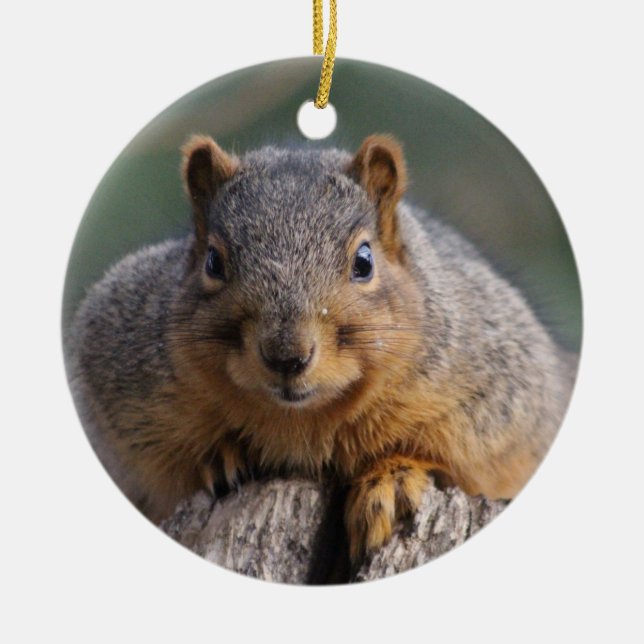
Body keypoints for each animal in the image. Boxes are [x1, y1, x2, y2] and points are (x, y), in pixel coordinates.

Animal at [68, 133, 577, 564]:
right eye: (213, 261)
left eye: (364, 261)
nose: (286, 355)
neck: (304, 423)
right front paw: (221, 455)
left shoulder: (504, 384)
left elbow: (466, 458)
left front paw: (391, 480)